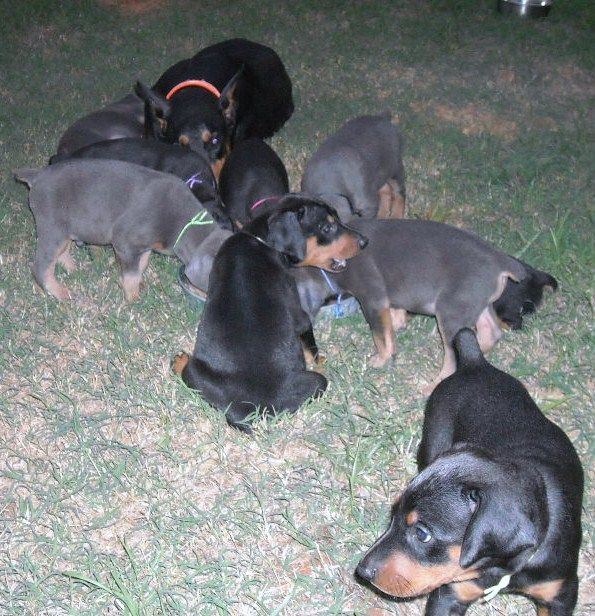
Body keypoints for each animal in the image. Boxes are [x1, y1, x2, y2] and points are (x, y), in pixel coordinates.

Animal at [14, 160, 224, 302]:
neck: (186, 222)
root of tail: (38, 175)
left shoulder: (144, 246)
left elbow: (141, 265)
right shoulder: (125, 241)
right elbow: (131, 274)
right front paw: (133, 298)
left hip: (64, 230)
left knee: (61, 253)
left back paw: (73, 268)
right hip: (53, 228)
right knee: (41, 266)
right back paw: (60, 292)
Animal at [172, 196, 368, 434]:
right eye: (327, 227)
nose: (365, 242)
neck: (260, 239)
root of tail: (249, 408)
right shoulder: (298, 312)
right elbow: (310, 343)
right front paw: (320, 359)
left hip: (198, 373)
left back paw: (180, 362)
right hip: (316, 382)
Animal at [356, 330, 584, 612]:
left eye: (422, 533)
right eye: (393, 514)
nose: (363, 571)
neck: (501, 567)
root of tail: (475, 362)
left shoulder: (561, 593)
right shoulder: (451, 594)